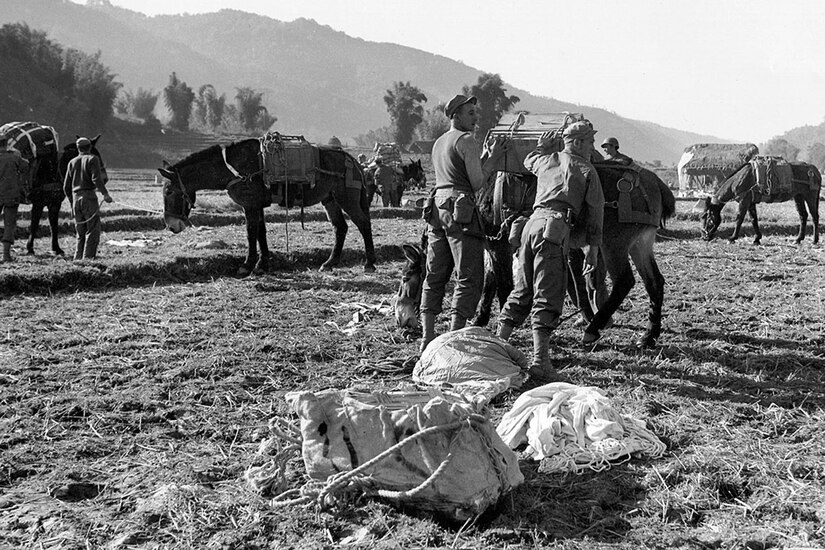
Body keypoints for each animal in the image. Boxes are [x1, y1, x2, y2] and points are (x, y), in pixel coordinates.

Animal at [160, 138, 376, 276]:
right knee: (340, 227)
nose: (171, 225)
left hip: (346, 198)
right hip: (330, 200)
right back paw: (330, 263)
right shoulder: (258, 205)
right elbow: (261, 233)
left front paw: (247, 265)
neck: (232, 168)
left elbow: (251, 233)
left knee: (363, 224)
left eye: (168, 191)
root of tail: (352, 159)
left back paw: (369, 263)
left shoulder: (250, 205)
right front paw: (262, 264)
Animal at [396, 164, 672, 350]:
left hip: (613, 244)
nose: (401, 319)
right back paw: (649, 336)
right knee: (655, 283)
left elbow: (503, 285)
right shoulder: (493, 247)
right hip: (639, 244)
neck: (476, 197)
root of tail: (654, 183)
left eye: (405, 278)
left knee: (625, 282)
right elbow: (489, 283)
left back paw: (593, 329)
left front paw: (501, 327)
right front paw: (480, 319)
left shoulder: (499, 245)